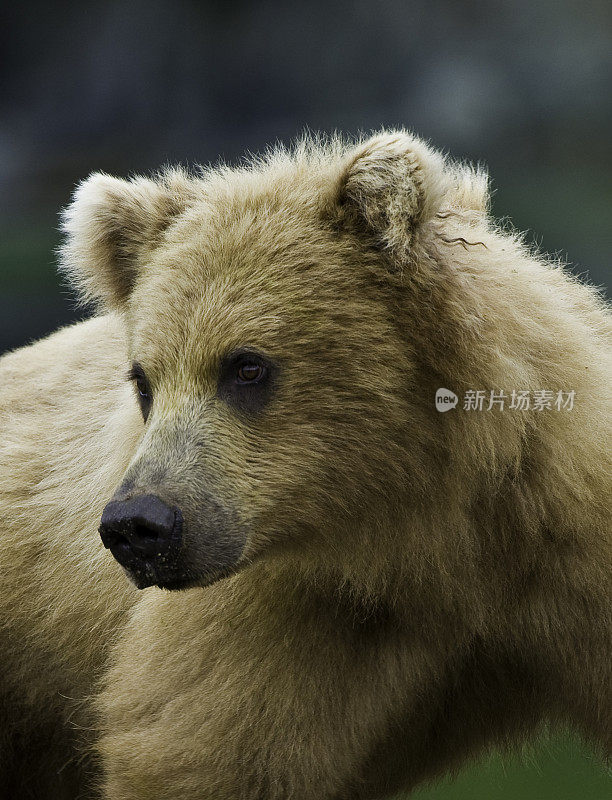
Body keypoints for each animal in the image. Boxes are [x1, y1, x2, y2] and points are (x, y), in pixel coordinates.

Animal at [0, 133, 608, 800]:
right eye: (144, 382)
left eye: (246, 366)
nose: (139, 524)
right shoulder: (284, 616)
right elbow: (197, 753)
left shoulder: (567, 540)